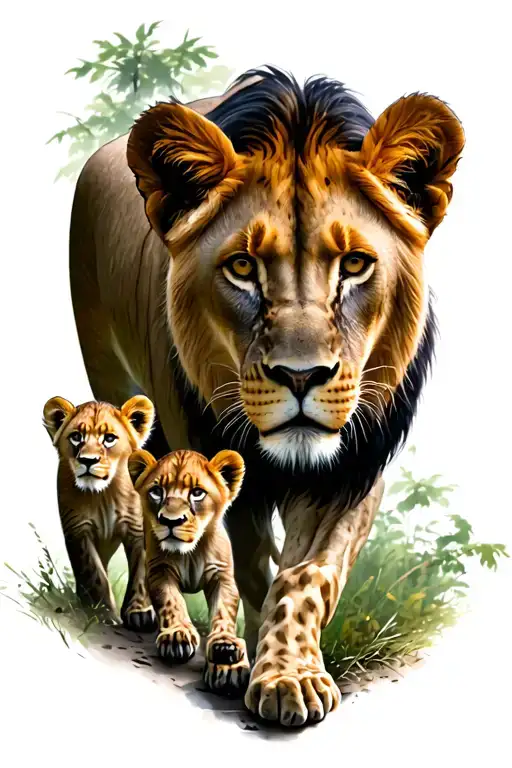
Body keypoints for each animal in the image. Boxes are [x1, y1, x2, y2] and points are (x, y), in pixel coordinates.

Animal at [43, 395, 157, 630]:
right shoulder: (77, 530)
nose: (88, 460)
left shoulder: (137, 528)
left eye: (109, 439)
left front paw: (140, 612)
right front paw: (101, 613)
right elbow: (94, 573)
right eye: (76, 437)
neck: (103, 495)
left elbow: (140, 571)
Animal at [128, 447, 250, 693]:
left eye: (197, 493)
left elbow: (224, 610)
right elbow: (171, 601)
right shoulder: (159, 570)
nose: (170, 521)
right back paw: (139, 612)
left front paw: (226, 648)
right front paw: (177, 636)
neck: (190, 553)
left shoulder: (222, 576)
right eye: (156, 491)